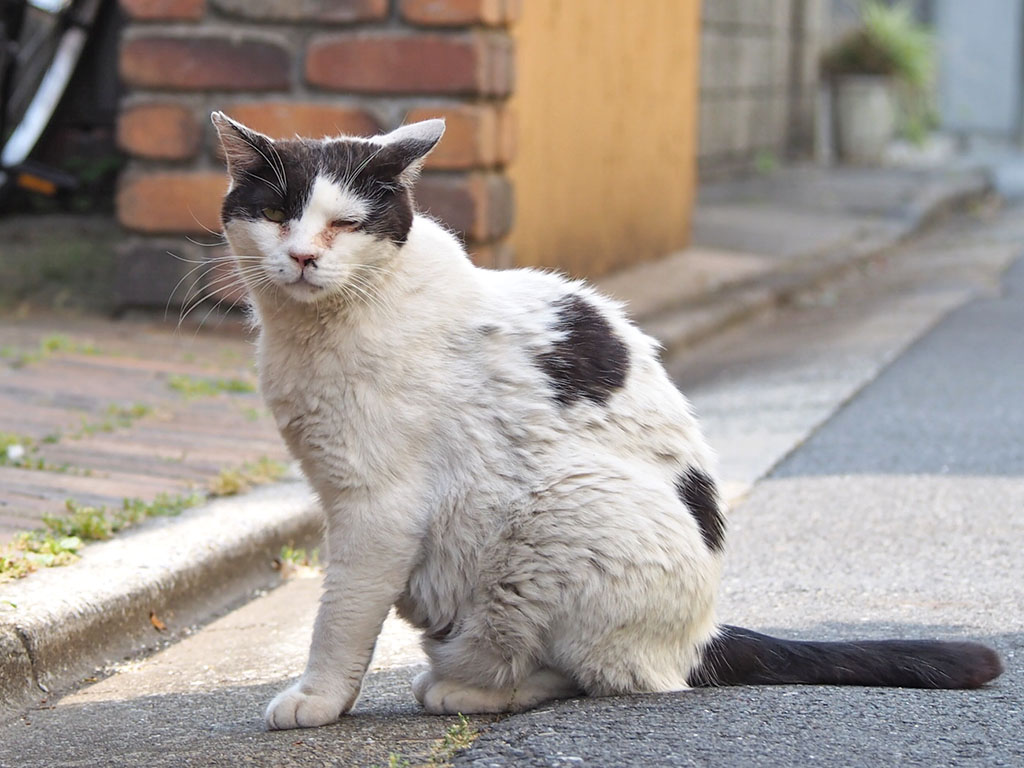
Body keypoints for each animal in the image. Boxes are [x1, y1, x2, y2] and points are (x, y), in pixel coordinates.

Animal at [207, 111, 999, 729]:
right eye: (276, 214)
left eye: (346, 223)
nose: (301, 257)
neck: (316, 332)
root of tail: (702, 636)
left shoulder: (377, 506)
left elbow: (340, 615)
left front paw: (318, 699)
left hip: (563, 513)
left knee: (595, 676)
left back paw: (470, 688)